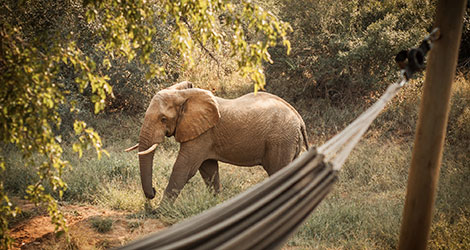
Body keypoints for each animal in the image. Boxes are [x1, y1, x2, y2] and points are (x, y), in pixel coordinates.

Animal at [126, 81, 308, 202]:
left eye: (163, 119)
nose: (153, 191)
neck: (184, 95)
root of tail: (299, 119)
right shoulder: (205, 136)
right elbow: (208, 169)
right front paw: (215, 204)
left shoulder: (202, 134)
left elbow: (184, 167)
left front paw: (160, 210)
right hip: (288, 141)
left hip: (281, 141)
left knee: (279, 172)